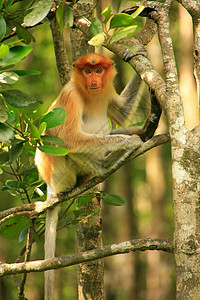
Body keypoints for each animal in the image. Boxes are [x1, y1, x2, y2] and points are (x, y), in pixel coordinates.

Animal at [35, 52, 162, 298]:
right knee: (67, 145)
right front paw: (130, 141)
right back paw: (108, 162)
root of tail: (50, 187)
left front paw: (138, 52)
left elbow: (121, 112)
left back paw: (148, 128)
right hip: (61, 174)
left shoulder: (107, 90)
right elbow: (68, 139)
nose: (93, 80)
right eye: (87, 71)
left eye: (99, 71)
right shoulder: (70, 95)